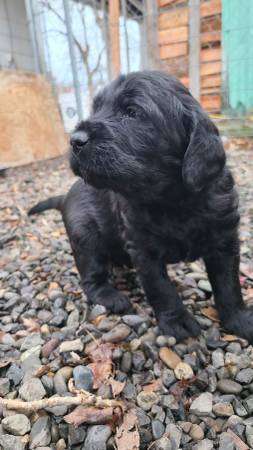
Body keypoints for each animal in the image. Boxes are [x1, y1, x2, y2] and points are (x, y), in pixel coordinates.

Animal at [28, 70, 253, 342]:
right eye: (96, 108)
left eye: (132, 112)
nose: (75, 140)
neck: (173, 200)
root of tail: (64, 196)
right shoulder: (144, 249)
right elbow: (161, 288)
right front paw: (176, 321)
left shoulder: (224, 240)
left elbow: (228, 284)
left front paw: (239, 319)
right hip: (85, 237)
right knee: (91, 277)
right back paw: (111, 296)